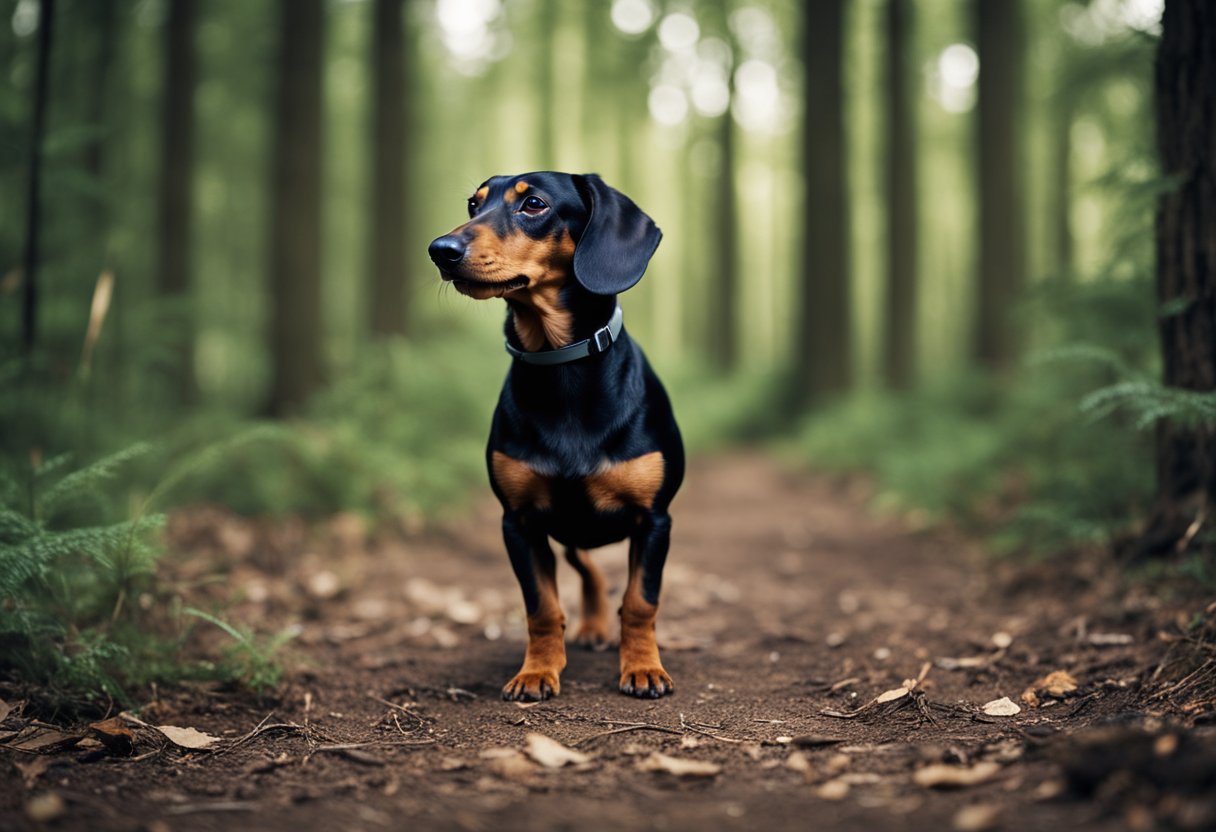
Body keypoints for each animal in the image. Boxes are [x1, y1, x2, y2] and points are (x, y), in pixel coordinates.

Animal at [428, 172, 685, 700]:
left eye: (534, 204)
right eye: (473, 205)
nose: (440, 249)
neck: (560, 365)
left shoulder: (654, 520)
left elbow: (641, 600)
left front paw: (643, 668)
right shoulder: (519, 523)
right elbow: (541, 607)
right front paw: (537, 672)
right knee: (588, 569)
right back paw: (592, 627)